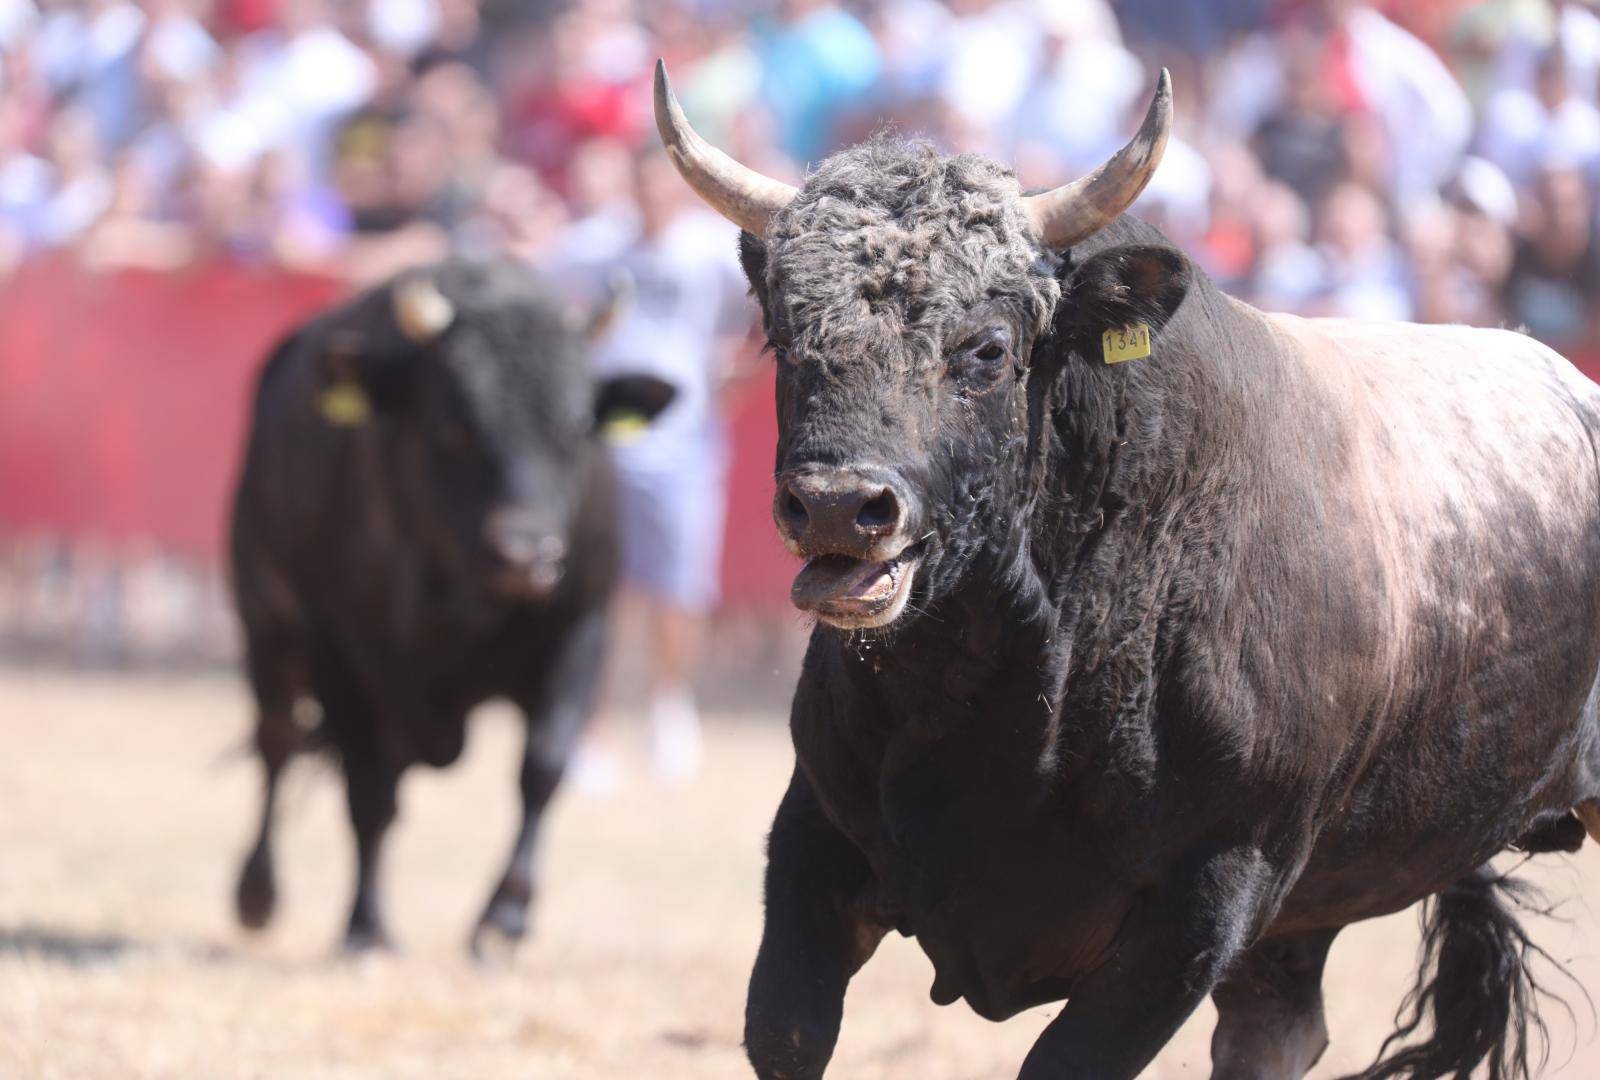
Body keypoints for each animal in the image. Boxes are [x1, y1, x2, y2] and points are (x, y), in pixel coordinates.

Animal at [228, 259, 672, 953]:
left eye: (575, 426)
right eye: (455, 426)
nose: (526, 556)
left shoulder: (580, 628)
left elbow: (542, 769)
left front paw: (504, 916)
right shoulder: (339, 653)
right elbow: (367, 792)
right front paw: (365, 927)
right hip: (265, 622)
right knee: (276, 741)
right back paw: (257, 892)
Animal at [656, 61, 1600, 1080]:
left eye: (986, 349)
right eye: (786, 336)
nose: (837, 504)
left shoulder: (1208, 896)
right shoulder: (815, 832)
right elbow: (786, 1030)